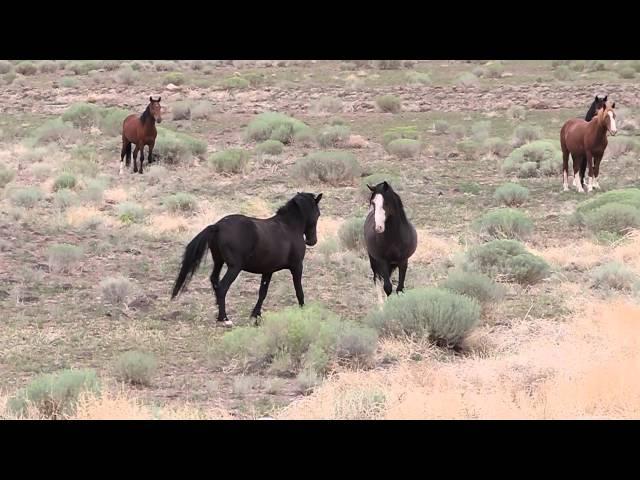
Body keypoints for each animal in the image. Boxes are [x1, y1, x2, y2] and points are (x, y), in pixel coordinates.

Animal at [170, 191, 322, 326]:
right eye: (318, 214)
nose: (312, 241)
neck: (289, 227)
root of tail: (218, 226)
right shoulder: (297, 266)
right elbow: (299, 290)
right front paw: (303, 310)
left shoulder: (268, 271)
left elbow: (262, 293)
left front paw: (255, 316)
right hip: (234, 267)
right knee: (222, 287)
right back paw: (224, 319)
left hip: (219, 261)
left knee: (214, 280)